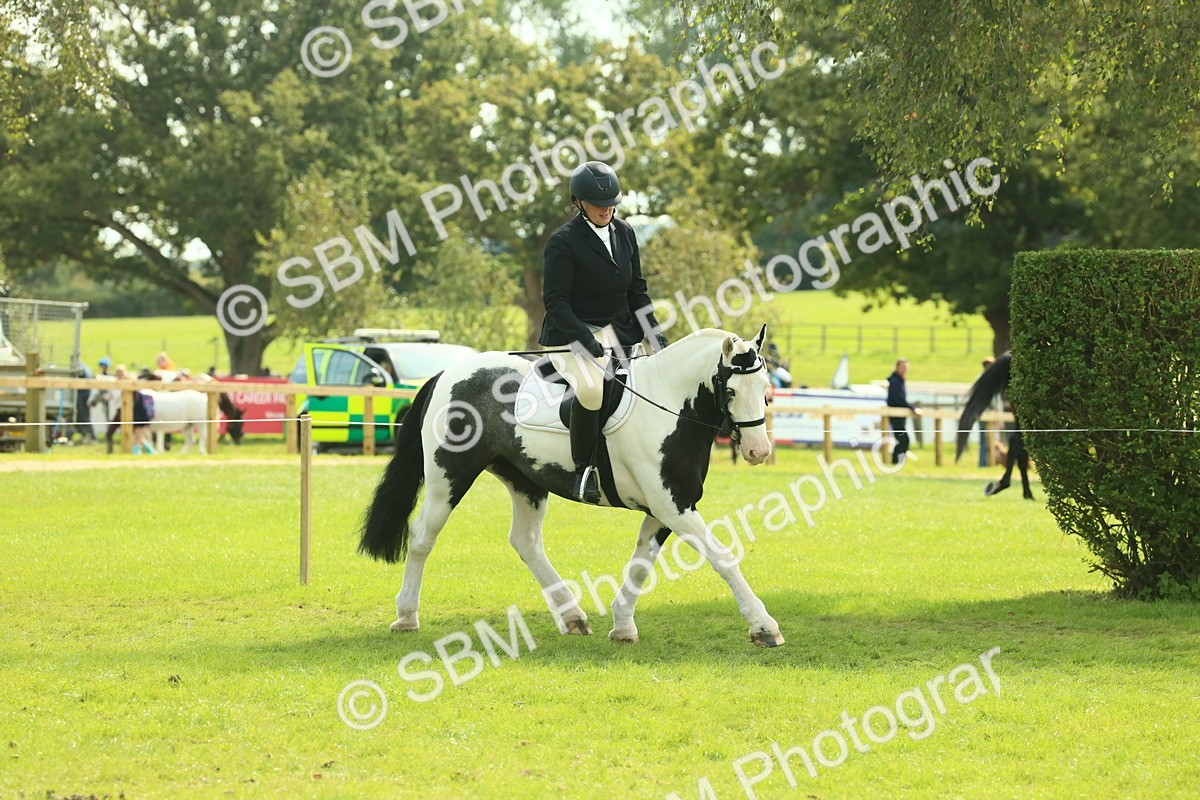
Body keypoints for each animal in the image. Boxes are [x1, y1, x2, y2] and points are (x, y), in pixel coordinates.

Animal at [359, 326, 785, 647]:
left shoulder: (665, 507)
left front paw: (622, 625)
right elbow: (723, 557)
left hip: (524, 479)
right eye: (730, 390)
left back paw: (572, 616)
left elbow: (641, 563)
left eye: (766, 385)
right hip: (448, 475)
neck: (669, 407)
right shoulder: (672, 506)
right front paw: (763, 626)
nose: (758, 450)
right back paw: (406, 616)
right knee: (422, 536)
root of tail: (449, 373)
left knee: (526, 542)